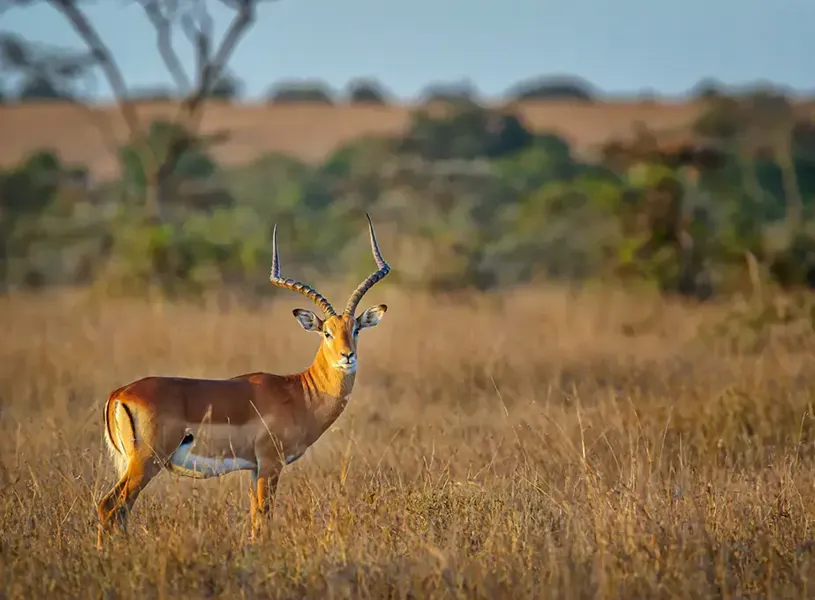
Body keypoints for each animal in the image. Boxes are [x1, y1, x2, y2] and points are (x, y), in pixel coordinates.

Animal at [97, 215, 390, 547]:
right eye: (326, 332)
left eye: (355, 329)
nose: (347, 356)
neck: (299, 393)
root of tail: (119, 394)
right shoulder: (270, 464)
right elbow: (263, 517)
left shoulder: (254, 468)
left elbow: (254, 519)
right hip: (147, 461)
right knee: (110, 505)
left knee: (120, 511)